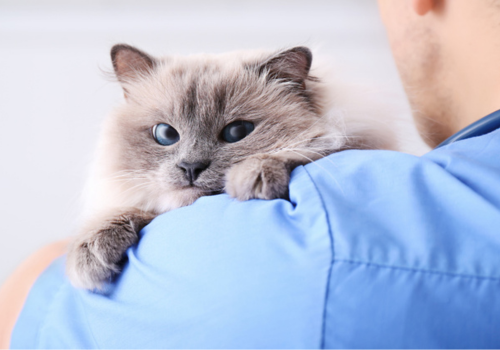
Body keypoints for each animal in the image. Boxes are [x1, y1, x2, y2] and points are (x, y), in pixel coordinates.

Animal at [66, 43, 396, 290]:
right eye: (166, 135)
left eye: (237, 132)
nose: (191, 167)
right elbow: (129, 211)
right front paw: (90, 254)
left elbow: (307, 147)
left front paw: (251, 178)